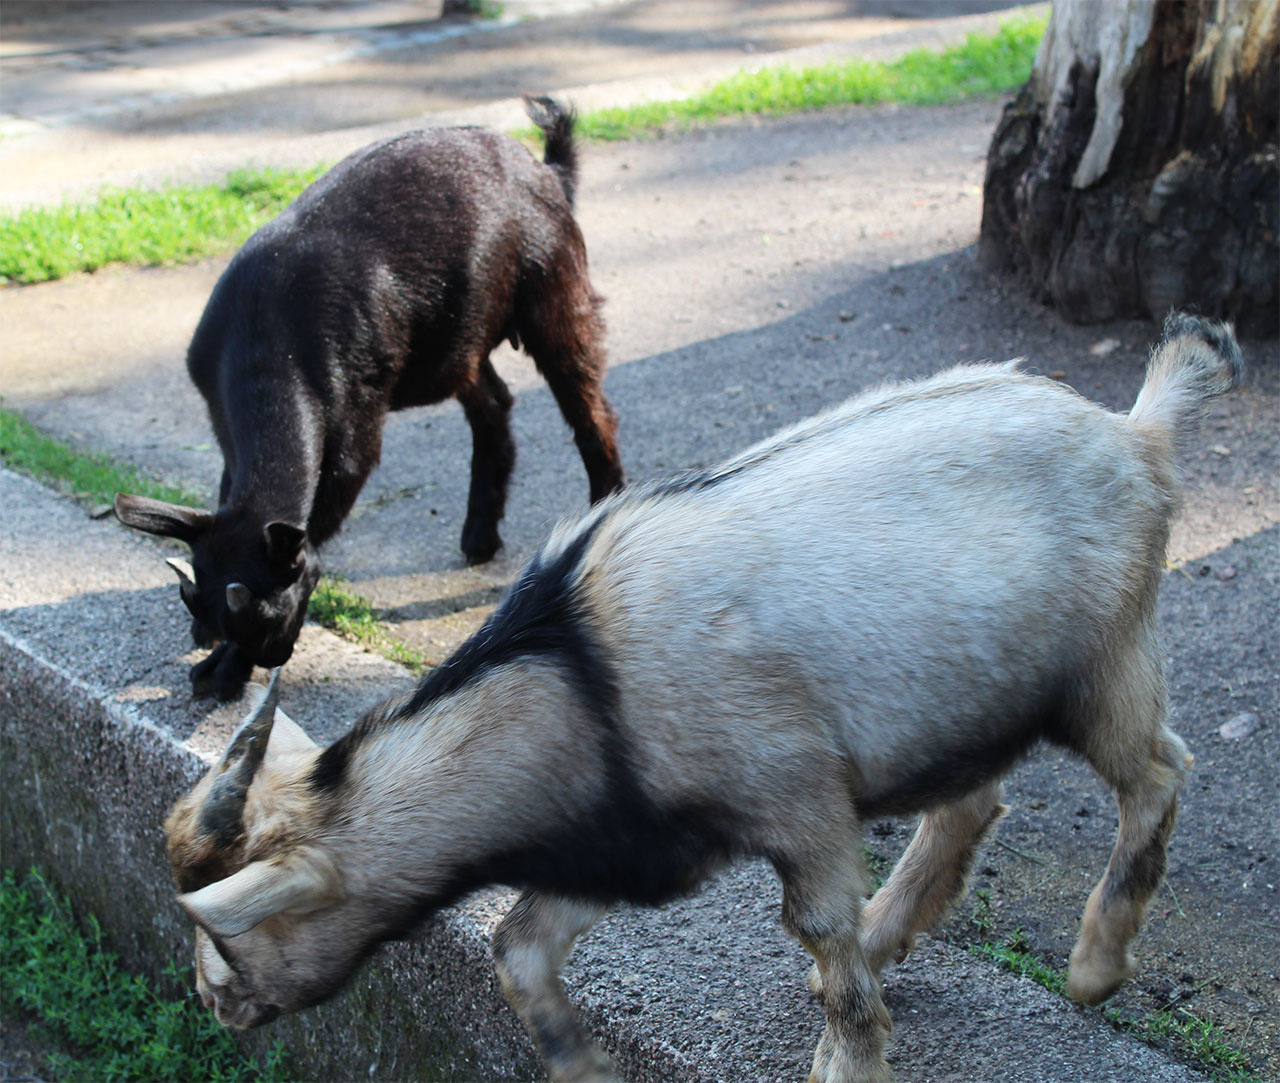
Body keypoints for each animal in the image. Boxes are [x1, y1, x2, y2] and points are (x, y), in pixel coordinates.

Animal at [114, 96, 624, 701]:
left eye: (269, 615)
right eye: (195, 599)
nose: (272, 654)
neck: (269, 347)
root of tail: (545, 171)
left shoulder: (354, 427)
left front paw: (222, 672)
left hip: (556, 293)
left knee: (589, 410)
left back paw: (604, 503)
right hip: (457, 337)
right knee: (493, 405)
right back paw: (480, 533)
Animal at [164, 315, 1241, 1081]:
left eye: (230, 937)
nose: (214, 1009)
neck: (580, 673)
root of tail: (1136, 430)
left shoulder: (797, 796)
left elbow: (814, 922)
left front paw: (847, 1060)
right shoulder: (629, 837)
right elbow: (517, 945)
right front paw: (585, 1069)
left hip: (1103, 660)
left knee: (1157, 769)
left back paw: (1094, 965)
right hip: (956, 704)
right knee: (971, 803)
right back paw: (891, 934)